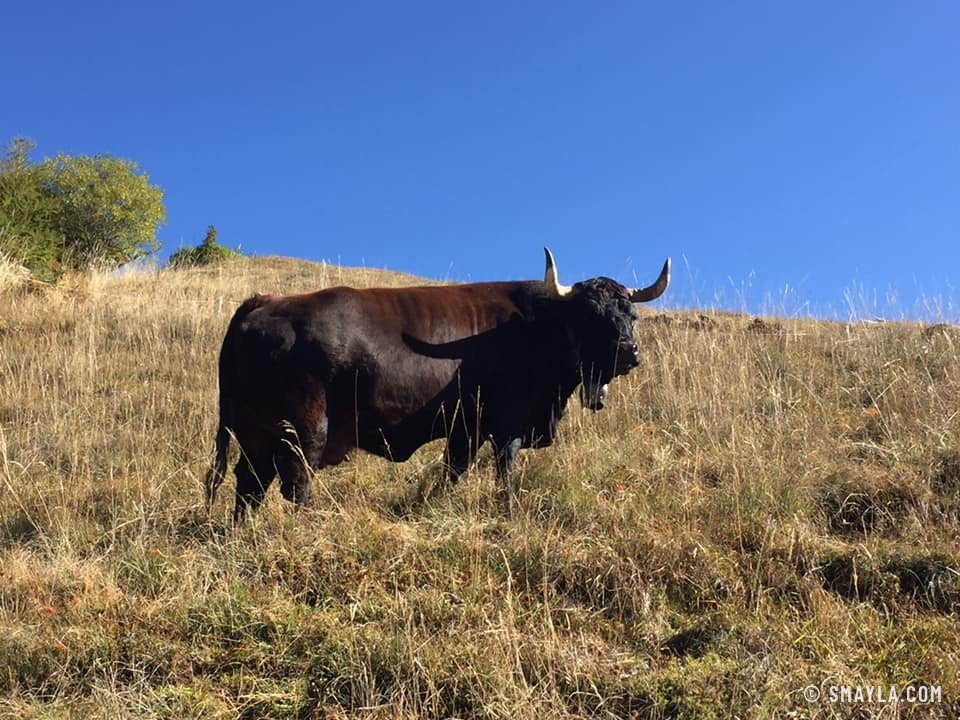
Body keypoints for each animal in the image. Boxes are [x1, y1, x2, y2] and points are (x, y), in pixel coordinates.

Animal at [205, 248, 670, 520]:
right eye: (590, 315)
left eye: (631, 314)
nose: (630, 352)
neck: (538, 326)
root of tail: (264, 302)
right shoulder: (506, 425)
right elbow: (504, 472)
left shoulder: (465, 430)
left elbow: (452, 471)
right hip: (303, 431)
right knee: (294, 481)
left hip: (255, 434)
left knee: (249, 483)